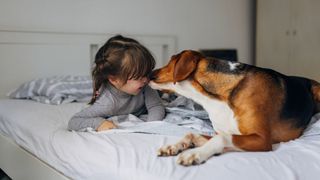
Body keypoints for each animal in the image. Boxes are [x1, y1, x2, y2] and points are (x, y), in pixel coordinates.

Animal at [149, 49, 320, 166]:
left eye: (171, 60)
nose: (150, 72)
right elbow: (191, 134)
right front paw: (173, 146)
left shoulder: (262, 139)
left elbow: (221, 138)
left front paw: (194, 153)